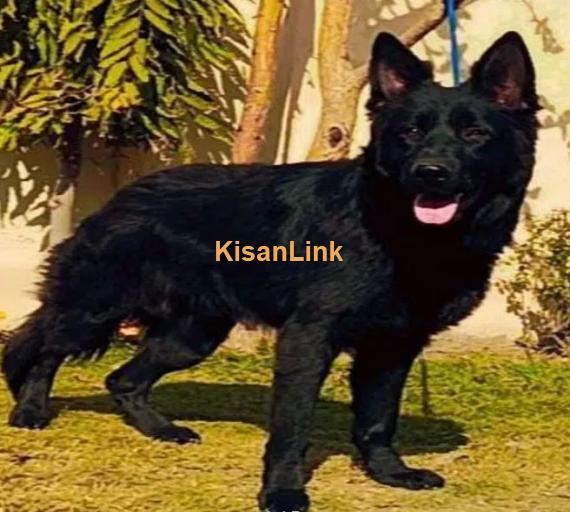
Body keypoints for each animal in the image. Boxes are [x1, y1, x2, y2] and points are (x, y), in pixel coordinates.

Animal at [2, 31, 538, 512]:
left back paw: (161, 430)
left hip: (191, 337)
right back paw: (30, 410)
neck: (399, 232)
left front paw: (389, 473)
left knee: (122, 380)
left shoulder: (393, 347)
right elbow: (293, 426)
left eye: (474, 135)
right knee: (42, 349)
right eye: (409, 133)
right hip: (92, 312)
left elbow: (377, 419)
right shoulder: (308, 340)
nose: (430, 173)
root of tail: (122, 196)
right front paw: (282, 492)